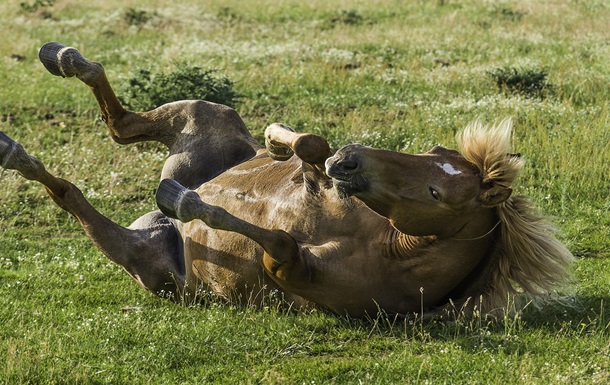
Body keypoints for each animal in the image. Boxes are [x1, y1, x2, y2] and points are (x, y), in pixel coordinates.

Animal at [0, 42, 572, 318]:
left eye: (437, 192)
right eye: (433, 153)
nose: (351, 162)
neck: (388, 246)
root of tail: (154, 231)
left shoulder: (288, 266)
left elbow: (277, 239)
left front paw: (185, 201)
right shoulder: (321, 175)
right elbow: (310, 145)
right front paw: (280, 142)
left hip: (142, 260)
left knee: (71, 193)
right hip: (203, 113)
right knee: (120, 123)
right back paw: (60, 59)